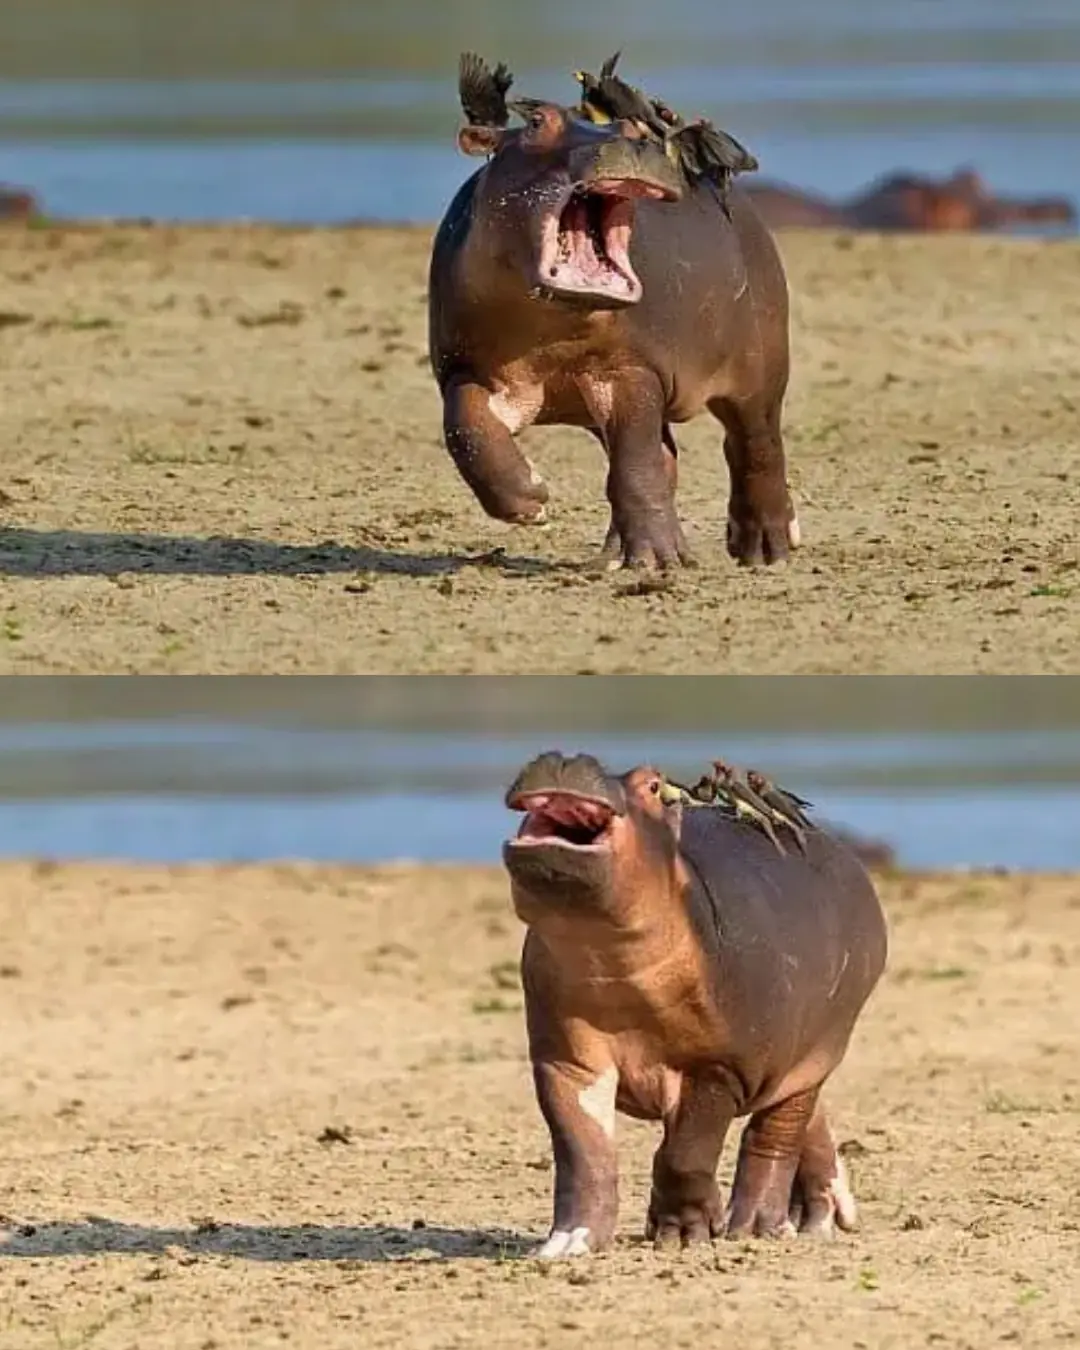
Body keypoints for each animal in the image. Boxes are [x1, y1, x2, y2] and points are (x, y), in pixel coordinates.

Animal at [428, 55, 796, 569]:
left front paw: (658, 562)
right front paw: (530, 501)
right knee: (667, 458)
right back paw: (616, 553)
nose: (629, 140)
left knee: (754, 446)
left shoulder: (632, 369)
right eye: (536, 121)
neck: (551, 331)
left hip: (761, 368)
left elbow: (637, 465)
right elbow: (466, 427)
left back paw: (765, 550)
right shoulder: (465, 368)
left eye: (634, 126)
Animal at [502, 751, 888, 1256]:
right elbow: (583, 1151)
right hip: (787, 1055)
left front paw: (685, 1235)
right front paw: (569, 1243)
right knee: (807, 1120)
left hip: (819, 1049)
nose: (566, 758)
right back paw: (813, 1218)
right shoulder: (566, 1062)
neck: (608, 960)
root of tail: (845, 856)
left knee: (777, 1133)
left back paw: (757, 1226)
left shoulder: (717, 1067)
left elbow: (685, 1154)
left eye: (652, 785)